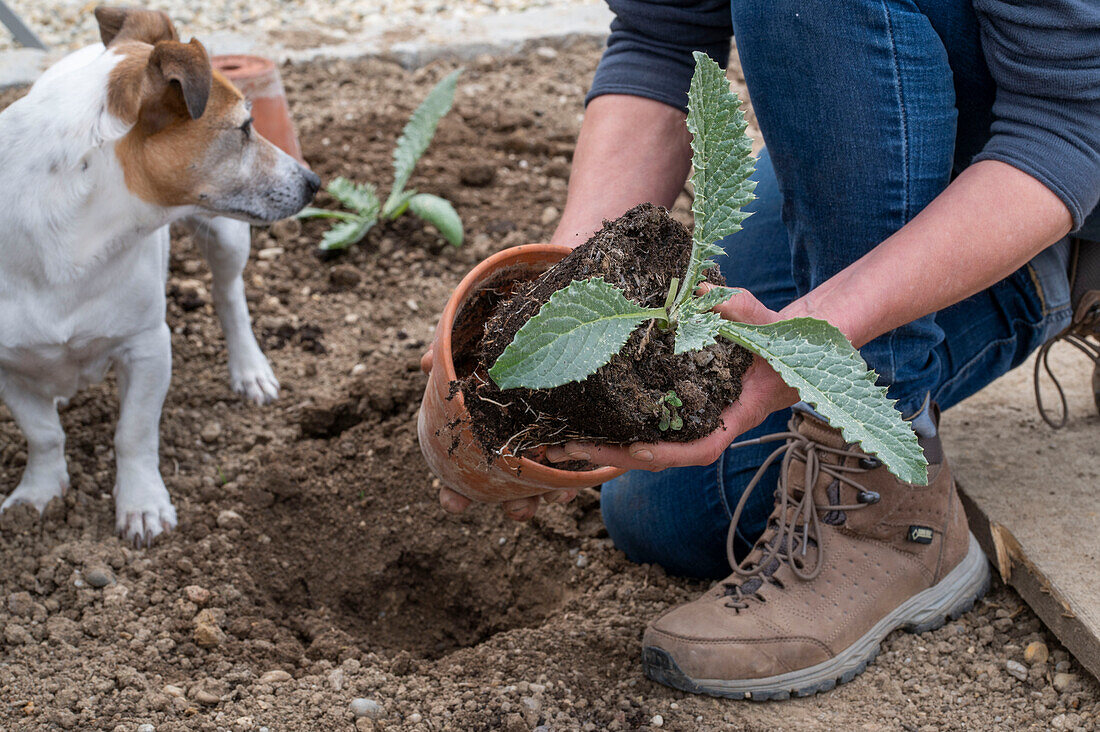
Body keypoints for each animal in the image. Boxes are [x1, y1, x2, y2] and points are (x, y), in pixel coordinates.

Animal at [0, 5, 319, 541]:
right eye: (244, 128)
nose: (314, 181)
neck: (76, 230)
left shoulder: (148, 346)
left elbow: (133, 433)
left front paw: (142, 505)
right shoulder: (5, 368)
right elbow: (42, 433)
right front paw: (37, 495)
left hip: (227, 238)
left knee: (229, 297)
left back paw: (250, 370)